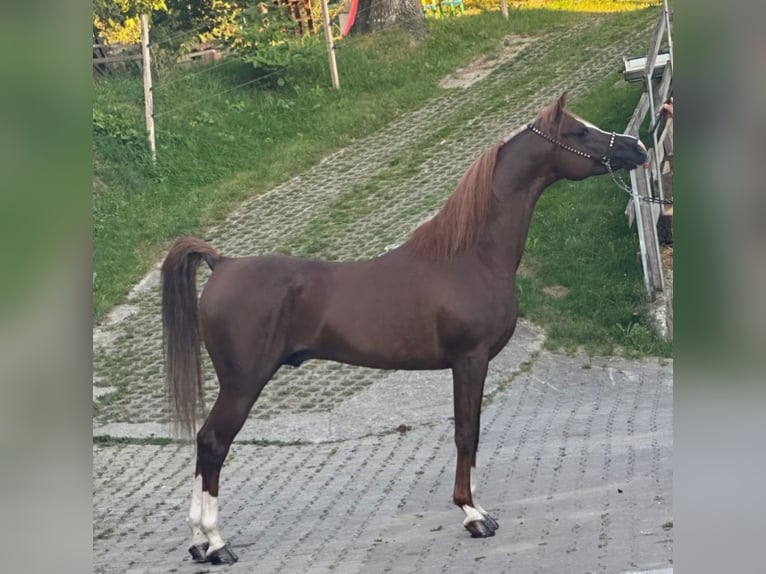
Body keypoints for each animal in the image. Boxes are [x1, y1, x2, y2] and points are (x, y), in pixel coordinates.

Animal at [162, 94, 648, 568]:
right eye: (578, 132)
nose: (636, 148)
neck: (469, 256)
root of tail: (222, 263)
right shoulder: (469, 359)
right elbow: (467, 432)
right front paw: (474, 515)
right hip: (243, 384)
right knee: (213, 444)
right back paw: (215, 543)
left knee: (205, 445)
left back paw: (199, 543)